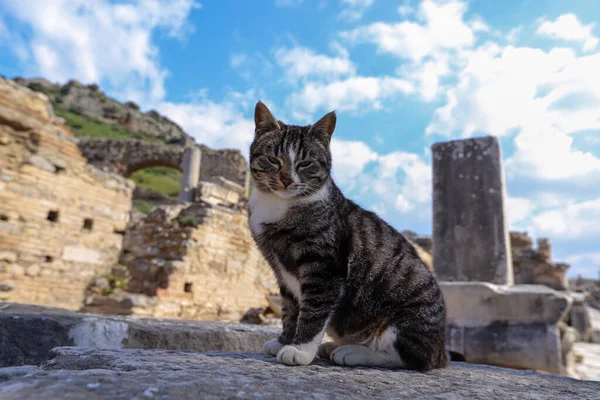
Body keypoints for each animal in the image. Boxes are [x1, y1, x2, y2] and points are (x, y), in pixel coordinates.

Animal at [246, 101, 448, 372]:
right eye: (273, 159)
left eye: (305, 163)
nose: (287, 180)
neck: (278, 205)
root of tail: (442, 352)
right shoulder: (282, 273)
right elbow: (290, 309)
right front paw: (284, 341)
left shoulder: (324, 269)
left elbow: (314, 312)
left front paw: (299, 350)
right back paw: (332, 346)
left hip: (406, 319)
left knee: (410, 357)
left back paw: (353, 352)